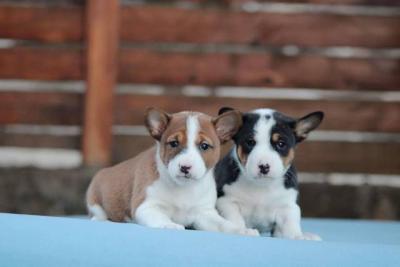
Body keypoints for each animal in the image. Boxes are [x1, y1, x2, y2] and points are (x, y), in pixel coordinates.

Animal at [86, 108, 258, 237]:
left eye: (204, 146)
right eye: (174, 143)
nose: (185, 167)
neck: (184, 187)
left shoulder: (204, 214)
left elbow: (224, 224)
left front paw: (242, 230)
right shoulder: (147, 206)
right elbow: (160, 216)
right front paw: (169, 225)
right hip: (95, 200)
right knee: (98, 214)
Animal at [214, 108, 324, 242]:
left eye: (281, 144)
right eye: (250, 142)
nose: (264, 167)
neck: (262, 186)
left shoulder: (288, 207)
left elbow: (290, 225)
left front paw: (299, 236)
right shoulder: (227, 202)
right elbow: (235, 219)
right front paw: (242, 231)